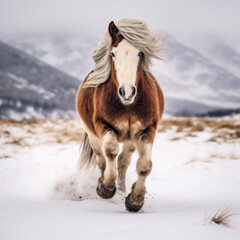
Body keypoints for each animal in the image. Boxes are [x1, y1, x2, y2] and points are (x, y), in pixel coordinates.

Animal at [76, 18, 164, 212]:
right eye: (113, 54)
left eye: (140, 53)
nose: (127, 92)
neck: (128, 106)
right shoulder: (103, 125)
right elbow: (110, 150)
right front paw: (107, 187)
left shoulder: (148, 130)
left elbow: (144, 166)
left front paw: (135, 200)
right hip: (93, 136)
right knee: (102, 160)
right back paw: (105, 186)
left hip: (131, 140)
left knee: (124, 162)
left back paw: (123, 190)